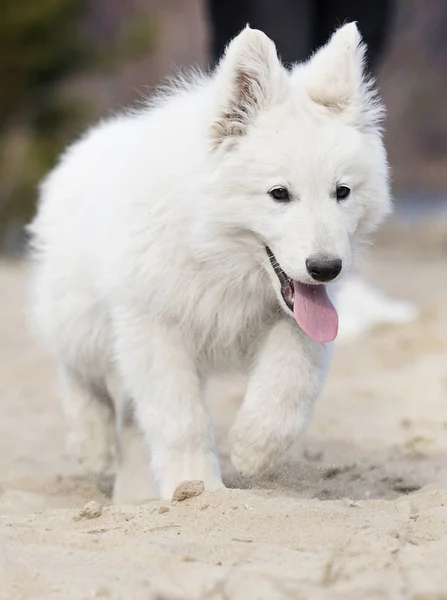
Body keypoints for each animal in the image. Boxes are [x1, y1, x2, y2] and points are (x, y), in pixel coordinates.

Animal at [28, 23, 392, 500]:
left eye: (342, 192)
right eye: (279, 194)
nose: (326, 268)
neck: (220, 256)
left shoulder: (301, 322)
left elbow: (290, 384)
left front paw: (253, 447)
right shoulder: (154, 329)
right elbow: (181, 421)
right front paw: (198, 488)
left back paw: (134, 492)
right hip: (81, 318)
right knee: (77, 371)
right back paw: (93, 443)